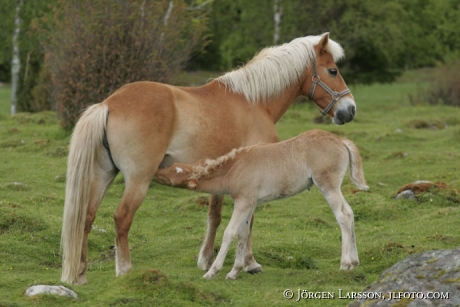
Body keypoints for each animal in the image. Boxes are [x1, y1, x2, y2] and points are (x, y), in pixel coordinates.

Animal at [156, 129, 368, 280]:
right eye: (173, 167)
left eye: (175, 175)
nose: (156, 172)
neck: (235, 167)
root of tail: (341, 141)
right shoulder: (249, 203)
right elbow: (243, 233)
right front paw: (234, 272)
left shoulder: (243, 202)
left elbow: (229, 233)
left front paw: (212, 271)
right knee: (350, 212)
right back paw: (355, 261)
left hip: (327, 185)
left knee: (343, 216)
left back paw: (345, 263)